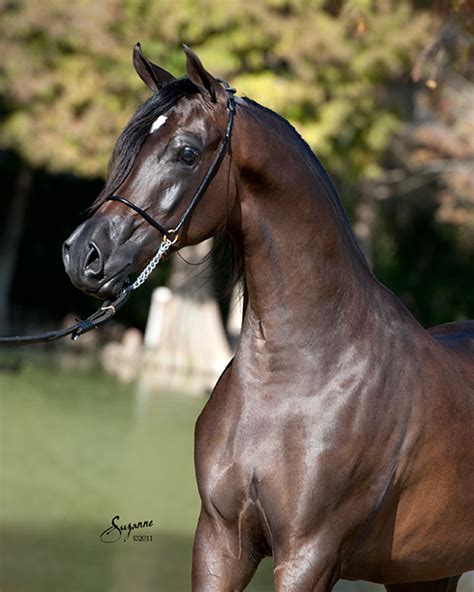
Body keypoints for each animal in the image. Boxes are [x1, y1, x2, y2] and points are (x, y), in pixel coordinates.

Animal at [64, 44, 474, 588]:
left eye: (187, 152)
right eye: (128, 149)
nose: (83, 253)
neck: (296, 374)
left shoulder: (309, 555)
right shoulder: (220, 541)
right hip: (423, 573)